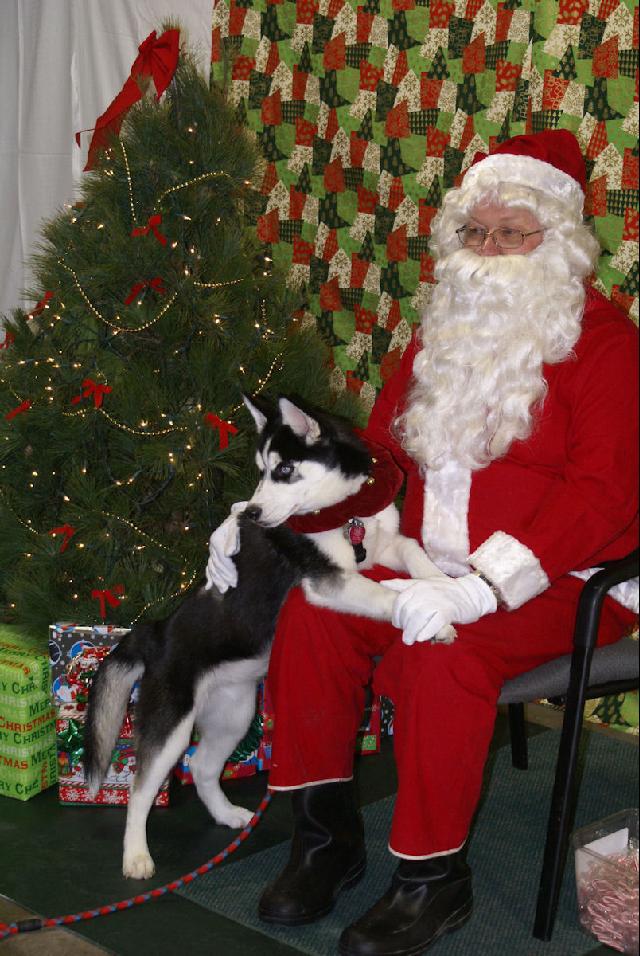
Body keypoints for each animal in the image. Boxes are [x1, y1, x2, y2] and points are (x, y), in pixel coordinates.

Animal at [84, 398, 456, 880]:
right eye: (261, 471)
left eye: (283, 469)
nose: (251, 513)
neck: (344, 514)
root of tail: (157, 631)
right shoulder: (326, 583)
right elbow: (383, 595)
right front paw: (431, 617)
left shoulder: (380, 549)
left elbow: (411, 550)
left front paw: (442, 588)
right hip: (172, 723)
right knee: (141, 787)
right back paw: (136, 856)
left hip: (235, 712)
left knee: (203, 766)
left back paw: (226, 813)